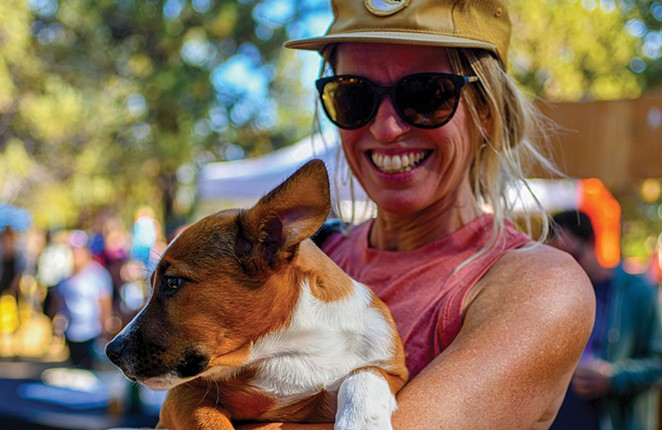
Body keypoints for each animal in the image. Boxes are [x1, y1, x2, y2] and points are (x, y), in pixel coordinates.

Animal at [105, 159, 408, 430]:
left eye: (172, 282)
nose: (111, 352)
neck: (291, 345)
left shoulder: (392, 369)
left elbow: (365, 373)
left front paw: (361, 423)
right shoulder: (183, 396)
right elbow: (210, 423)